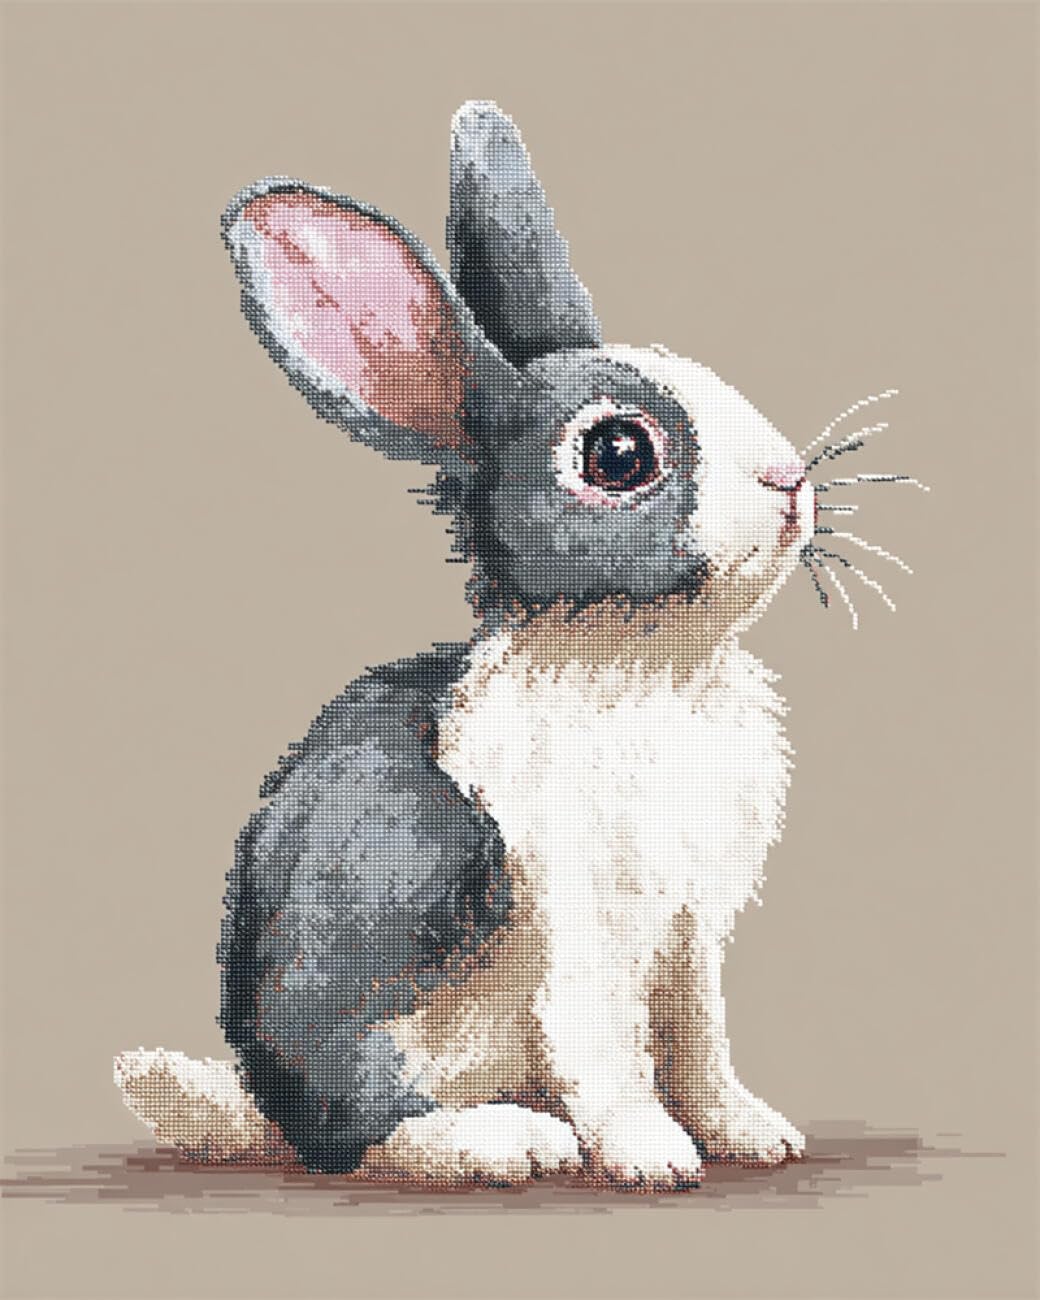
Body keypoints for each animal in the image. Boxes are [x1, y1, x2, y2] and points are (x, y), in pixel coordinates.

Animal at [116, 100, 919, 1188]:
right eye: (617, 453)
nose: (790, 482)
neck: (643, 661)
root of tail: (258, 1100)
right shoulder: (579, 917)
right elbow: (605, 1046)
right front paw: (652, 1157)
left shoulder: (688, 934)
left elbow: (699, 1041)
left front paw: (752, 1132)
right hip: (387, 936)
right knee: (354, 1128)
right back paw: (506, 1138)